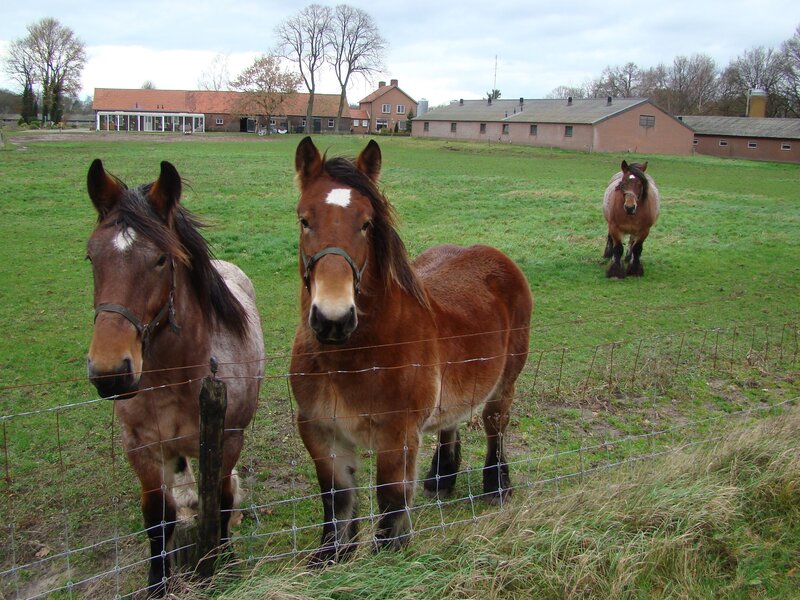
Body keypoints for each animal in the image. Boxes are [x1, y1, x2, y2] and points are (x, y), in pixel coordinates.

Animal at [84, 160, 264, 595]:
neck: (174, 377)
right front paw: (157, 581)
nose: (110, 373)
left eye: (161, 260)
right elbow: (156, 517)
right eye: (91, 256)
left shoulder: (227, 440)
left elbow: (221, 500)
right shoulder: (141, 448)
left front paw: (223, 561)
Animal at [289, 137, 533, 566]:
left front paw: (389, 553)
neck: (353, 357)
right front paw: (332, 555)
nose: (333, 319)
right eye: (304, 220)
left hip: (504, 385)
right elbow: (336, 498)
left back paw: (497, 485)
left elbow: (390, 498)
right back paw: (441, 478)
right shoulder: (320, 431)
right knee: (450, 422)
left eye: (366, 223)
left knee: (495, 426)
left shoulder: (396, 435)